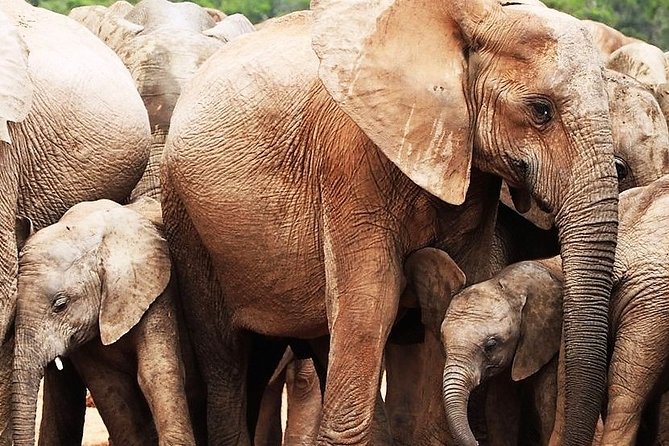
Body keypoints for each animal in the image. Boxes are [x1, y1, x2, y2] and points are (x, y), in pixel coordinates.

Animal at [161, 1, 620, 444]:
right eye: (541, 110)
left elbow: (458, 286)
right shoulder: (349, 160)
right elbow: (372, 301)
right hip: (187, 221)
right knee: (227, 363)